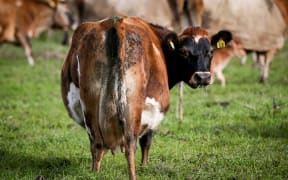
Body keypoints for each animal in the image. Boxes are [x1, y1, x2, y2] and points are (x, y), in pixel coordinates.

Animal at [60, 16, 232, 179]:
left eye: (210, 52)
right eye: (183, 52)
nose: (203, 77)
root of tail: (115, 24)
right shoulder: (152, 109)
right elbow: (147, 140)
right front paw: (145, 166)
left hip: (90, 105)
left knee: (97, 144)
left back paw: (95, 173)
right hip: (133, 106)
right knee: (130, 144)